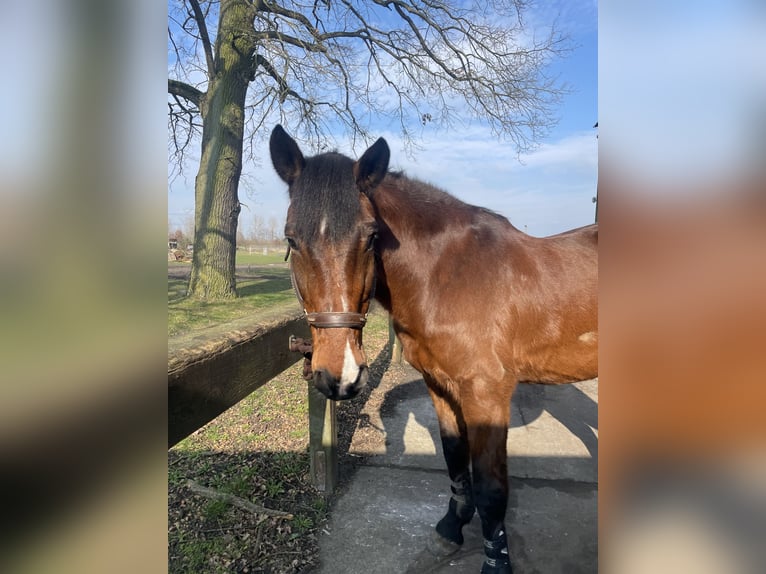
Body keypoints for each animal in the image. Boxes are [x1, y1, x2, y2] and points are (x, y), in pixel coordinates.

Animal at [270, 126, 600, 574]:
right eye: (292, 238)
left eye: (371, 236)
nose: (341, 375)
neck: (450, 276)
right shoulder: (440, 386)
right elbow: (454, 457)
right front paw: (450, 529)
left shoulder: (487, 394)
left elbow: (492, 489)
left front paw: (495, 563)